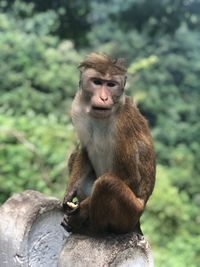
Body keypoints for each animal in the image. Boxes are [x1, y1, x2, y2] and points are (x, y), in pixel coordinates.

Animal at [61, 52, 156, 237]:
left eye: (111, 85)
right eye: (97, 82)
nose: (104, 97)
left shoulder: (124, 126)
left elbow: (130, 177)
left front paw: (79, 211)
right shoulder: (78, 108)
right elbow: (83, 151)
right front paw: (69, 194)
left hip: (130, 214)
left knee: (107, 184)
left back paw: (92, 229)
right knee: (74, 157)